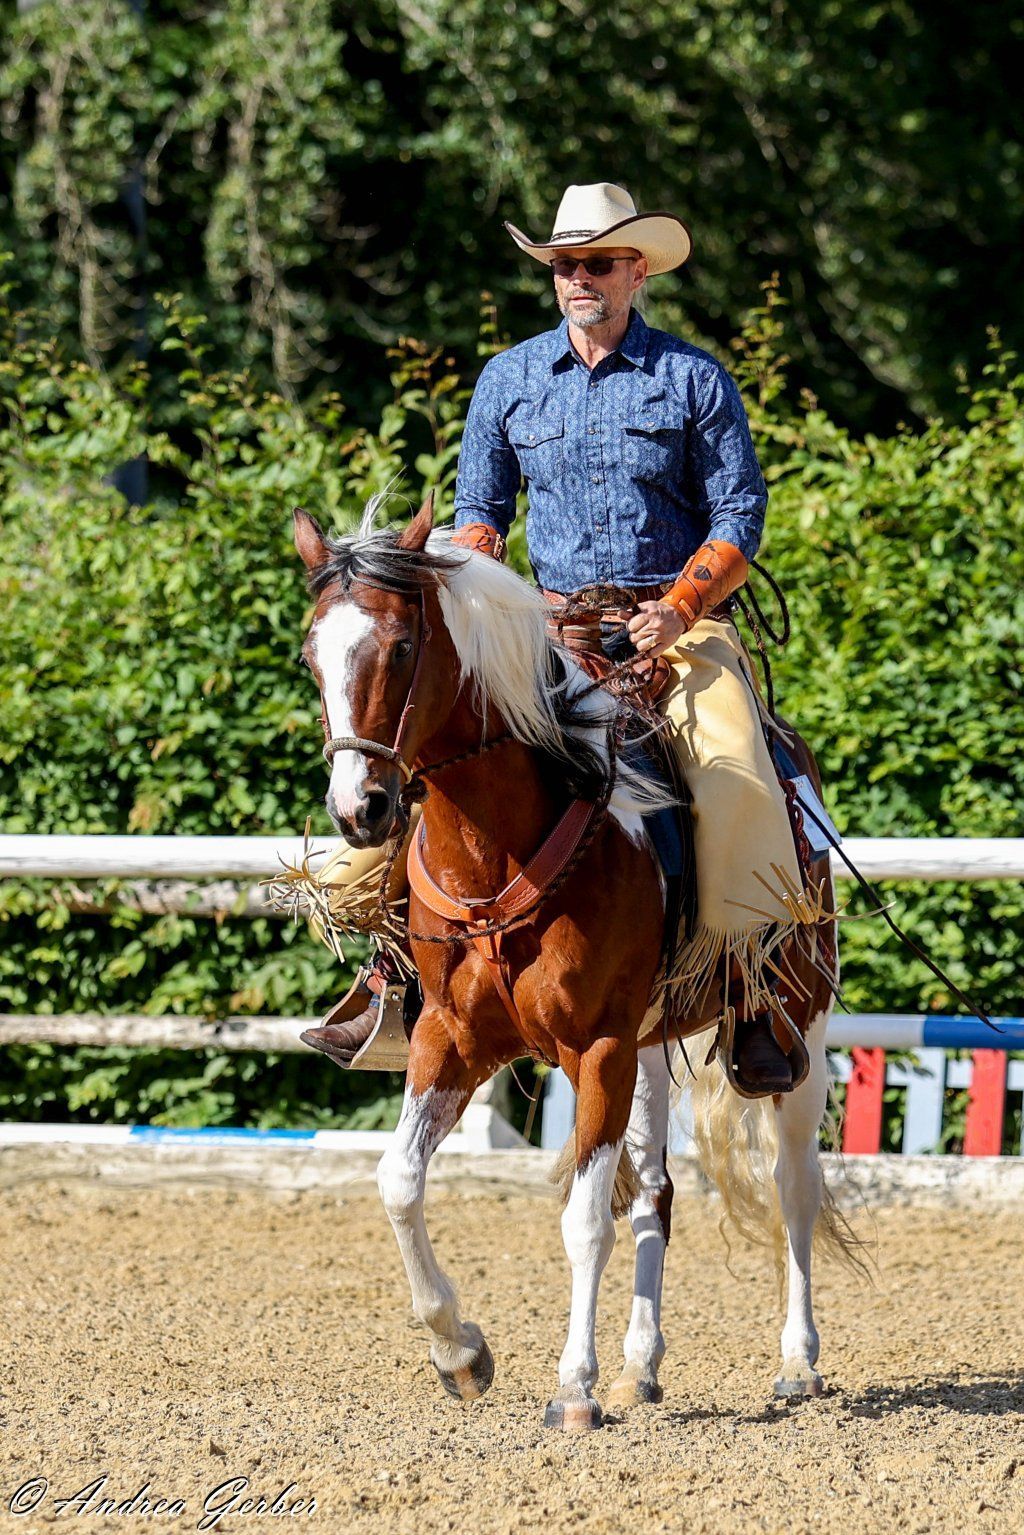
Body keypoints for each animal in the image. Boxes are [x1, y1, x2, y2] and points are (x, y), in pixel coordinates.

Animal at [293, 494, 859, 1432]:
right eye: (313, 653)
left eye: (402, 646)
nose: (360, 809)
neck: (502, 843)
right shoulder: (451, 1039)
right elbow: (400, 1181)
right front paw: (461, 1352)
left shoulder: (595, 1049)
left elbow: (584, 1218)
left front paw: (573, 1386)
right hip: (650, 1050)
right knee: (657, 1195)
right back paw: (642, 1367)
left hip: (795, 1025)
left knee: (794, 1183)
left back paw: (799, 1361)